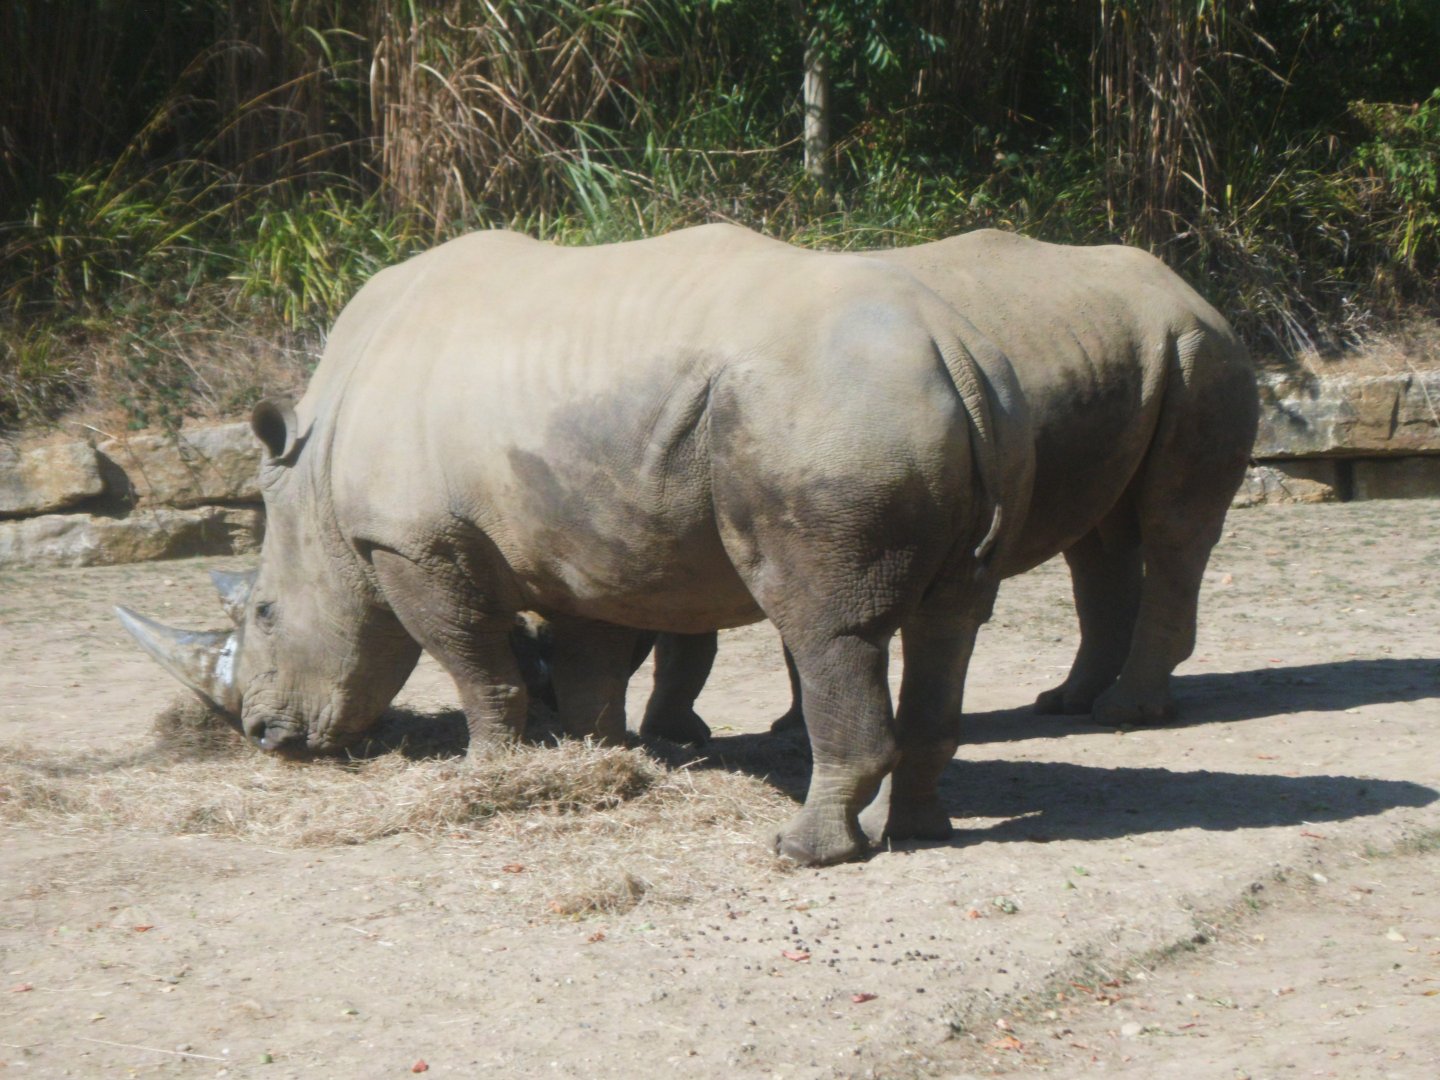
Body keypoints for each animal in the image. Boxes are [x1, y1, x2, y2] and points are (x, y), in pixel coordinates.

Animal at [117, 223, 1034, 867]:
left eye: (266, 615)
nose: (266, 738)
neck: (316, 469)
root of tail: (950, 345)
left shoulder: (409, 544)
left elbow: (473, 662)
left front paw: (485, 774)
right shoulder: (577, 543)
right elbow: (590, 663)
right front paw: (599, 761)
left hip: (827, 416)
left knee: (825, 627)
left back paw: (803, 853)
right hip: (962, 405)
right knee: (952, 619)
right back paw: (920, 832)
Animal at [636, 229, 1258, 746]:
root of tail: (1192, 292)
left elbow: (688, 624)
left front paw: (676, 736)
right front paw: (764, 728)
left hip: (1198, 354)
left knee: (1171, 527)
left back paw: (1123, 713)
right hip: (1130, 355)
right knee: (1100, 536)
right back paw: (1067, 703)